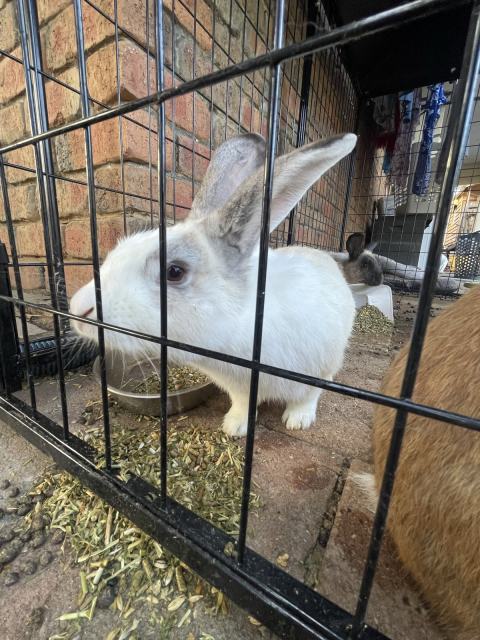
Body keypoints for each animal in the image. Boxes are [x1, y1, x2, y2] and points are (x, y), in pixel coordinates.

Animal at [70, 132, 357, 437]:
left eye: (174, 271)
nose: (78, 310)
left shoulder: (318, 372)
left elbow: (307, 397)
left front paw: (298, 420)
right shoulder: (241, 389)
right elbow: (243, 404)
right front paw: (234, 427)